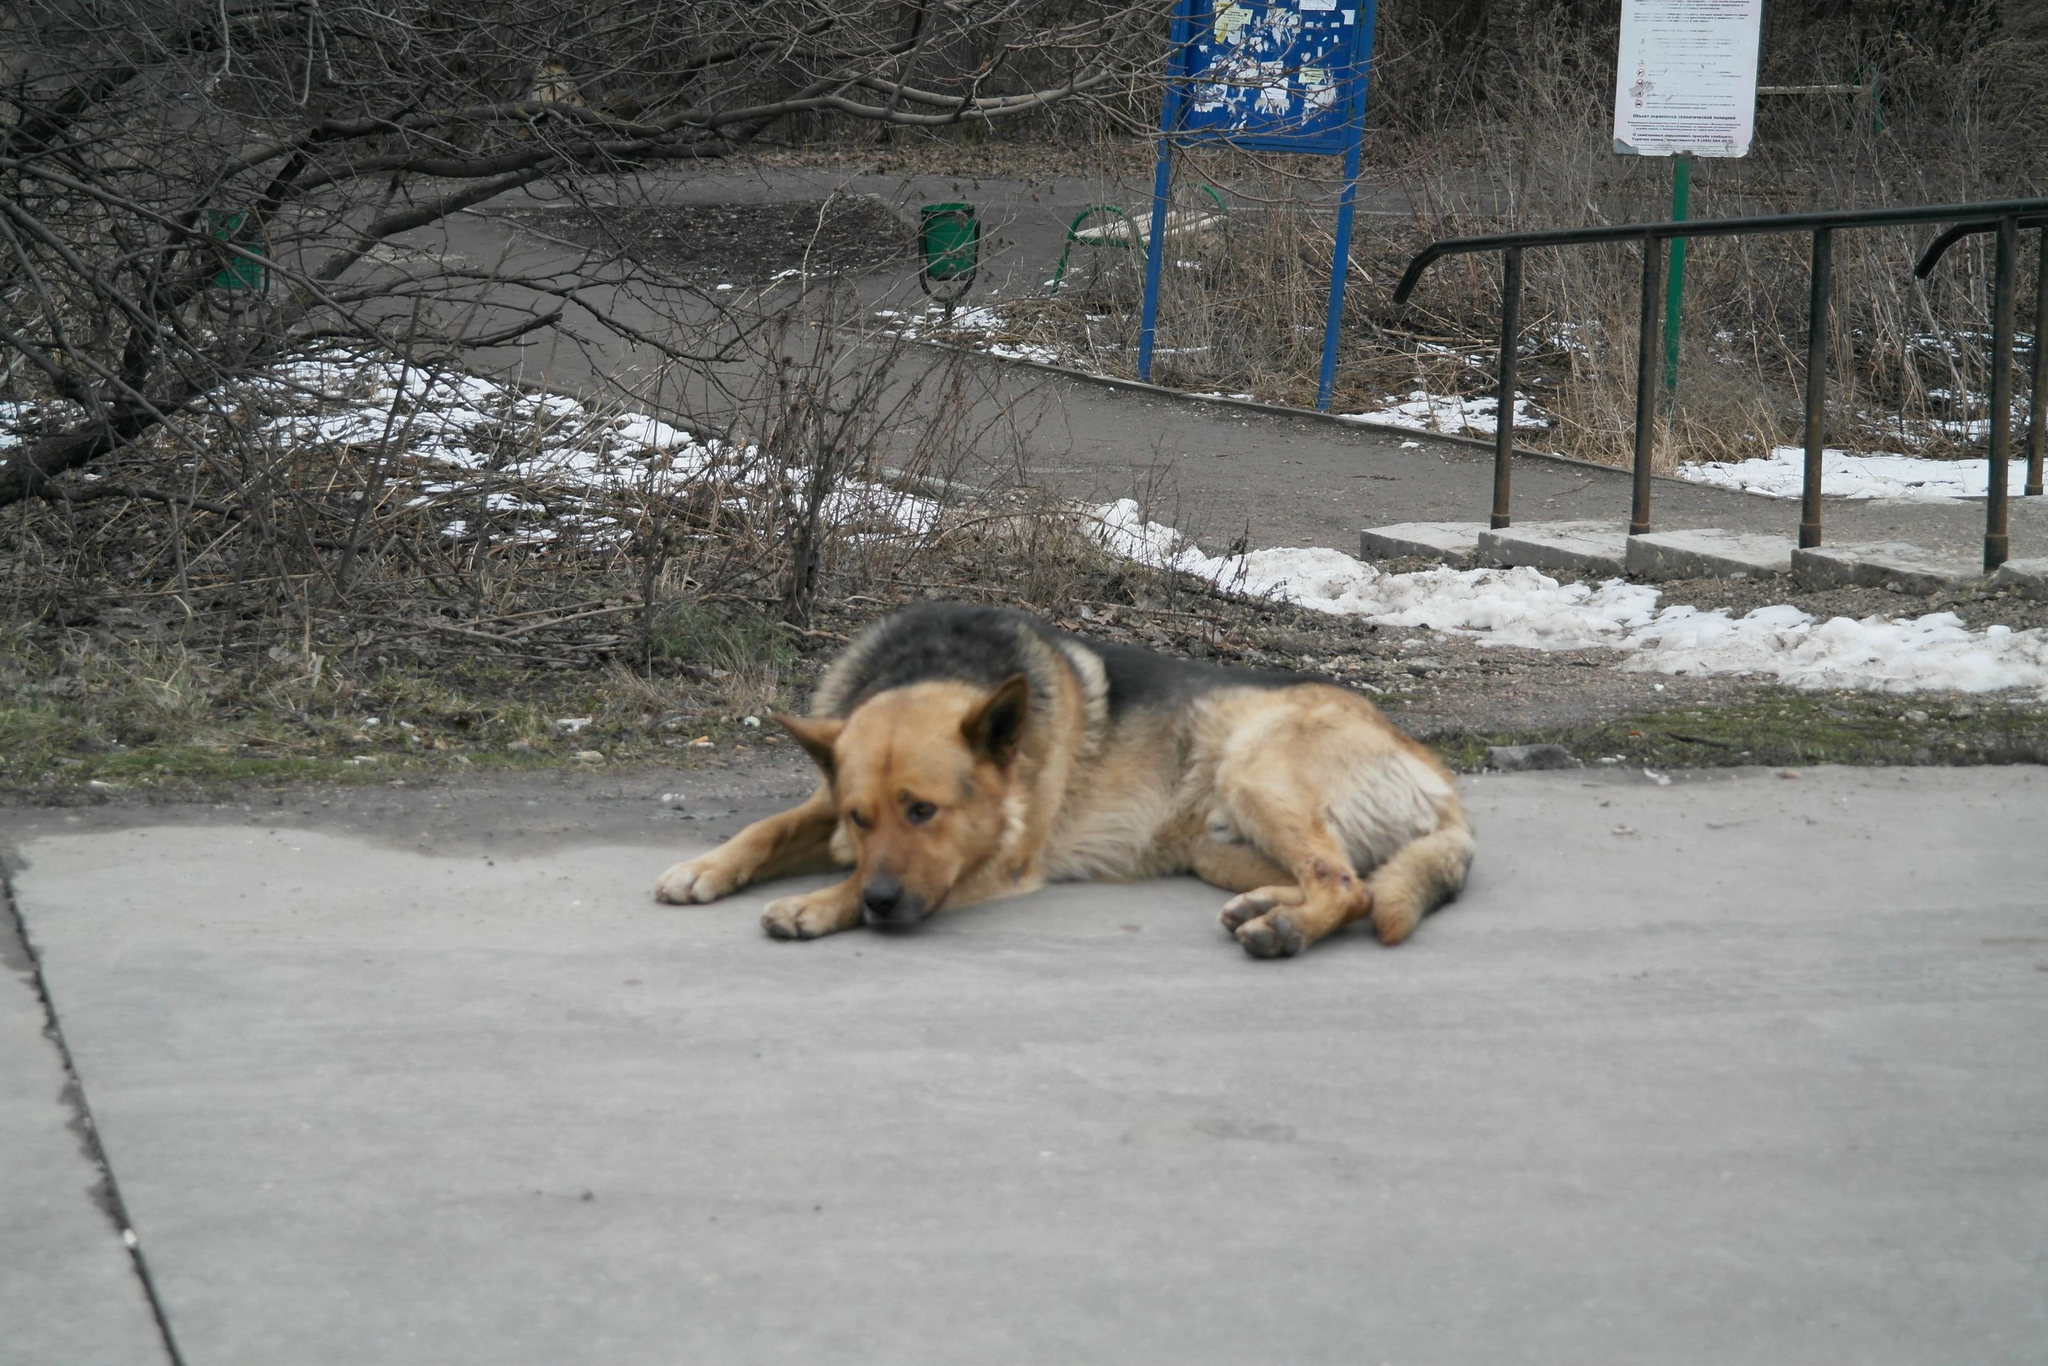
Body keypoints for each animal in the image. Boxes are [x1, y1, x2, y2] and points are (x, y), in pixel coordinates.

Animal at [655, 602, 1474, 958]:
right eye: (859, 818)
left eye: (924, 812)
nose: (885, 903)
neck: (937, 666)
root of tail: (1440, 778)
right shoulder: (826, 801)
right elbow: (768, 828)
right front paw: (706, 867)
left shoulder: (994, 861)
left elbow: (862, 878)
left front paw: (821, 903)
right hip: (1213, 845)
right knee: (1355, 880)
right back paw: (1263, 906)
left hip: (1257, 775)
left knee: (1349, 887)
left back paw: (1284, 928)